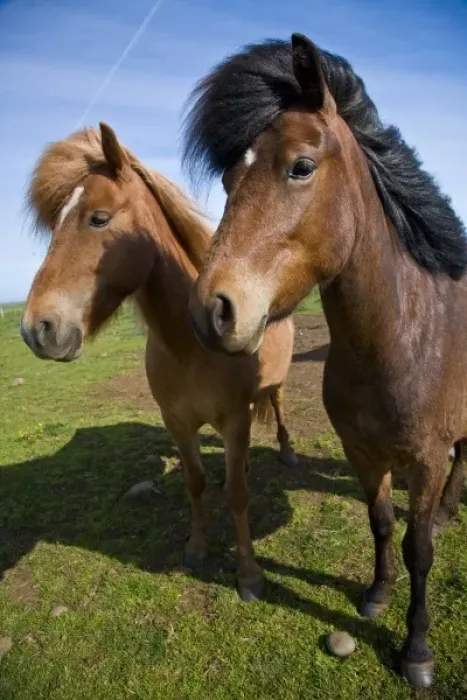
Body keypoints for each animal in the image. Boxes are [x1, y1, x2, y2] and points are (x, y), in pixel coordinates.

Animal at [20, 122, 298, 602]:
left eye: (98, 218)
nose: (36, 329)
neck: (191, 347)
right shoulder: (177, 422)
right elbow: (196, 481)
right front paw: (197, 548)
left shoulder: (234, 419)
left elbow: (238, 495)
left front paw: (248, 575)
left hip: (274, 387)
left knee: (278, 407)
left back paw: (285, 451)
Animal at [181, 34, 467, 688]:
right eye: (230, 176)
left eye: (301, 166)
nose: (211, 311)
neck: (397, 342)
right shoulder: (361, 452)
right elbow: (382, 524)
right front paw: (377, 595)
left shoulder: (426, 459)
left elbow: (419, 550)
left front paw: (416, 650)